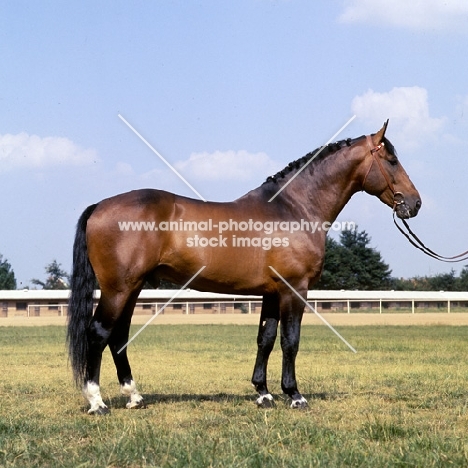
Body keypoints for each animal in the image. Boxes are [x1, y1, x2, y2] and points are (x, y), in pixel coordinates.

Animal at [66, 121, 420, 414]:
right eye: (391, 160)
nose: (414, 203)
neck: (293, 209)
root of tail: (100, 206)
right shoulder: (294, 289)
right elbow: (290, 340)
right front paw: (294, 395)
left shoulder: (272, 293)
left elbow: (266, 338)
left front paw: (263, 393)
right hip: (118, 288)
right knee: (98, 334)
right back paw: (97, 402)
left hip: (133, 287)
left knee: (118, 336)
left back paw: (134, 397)